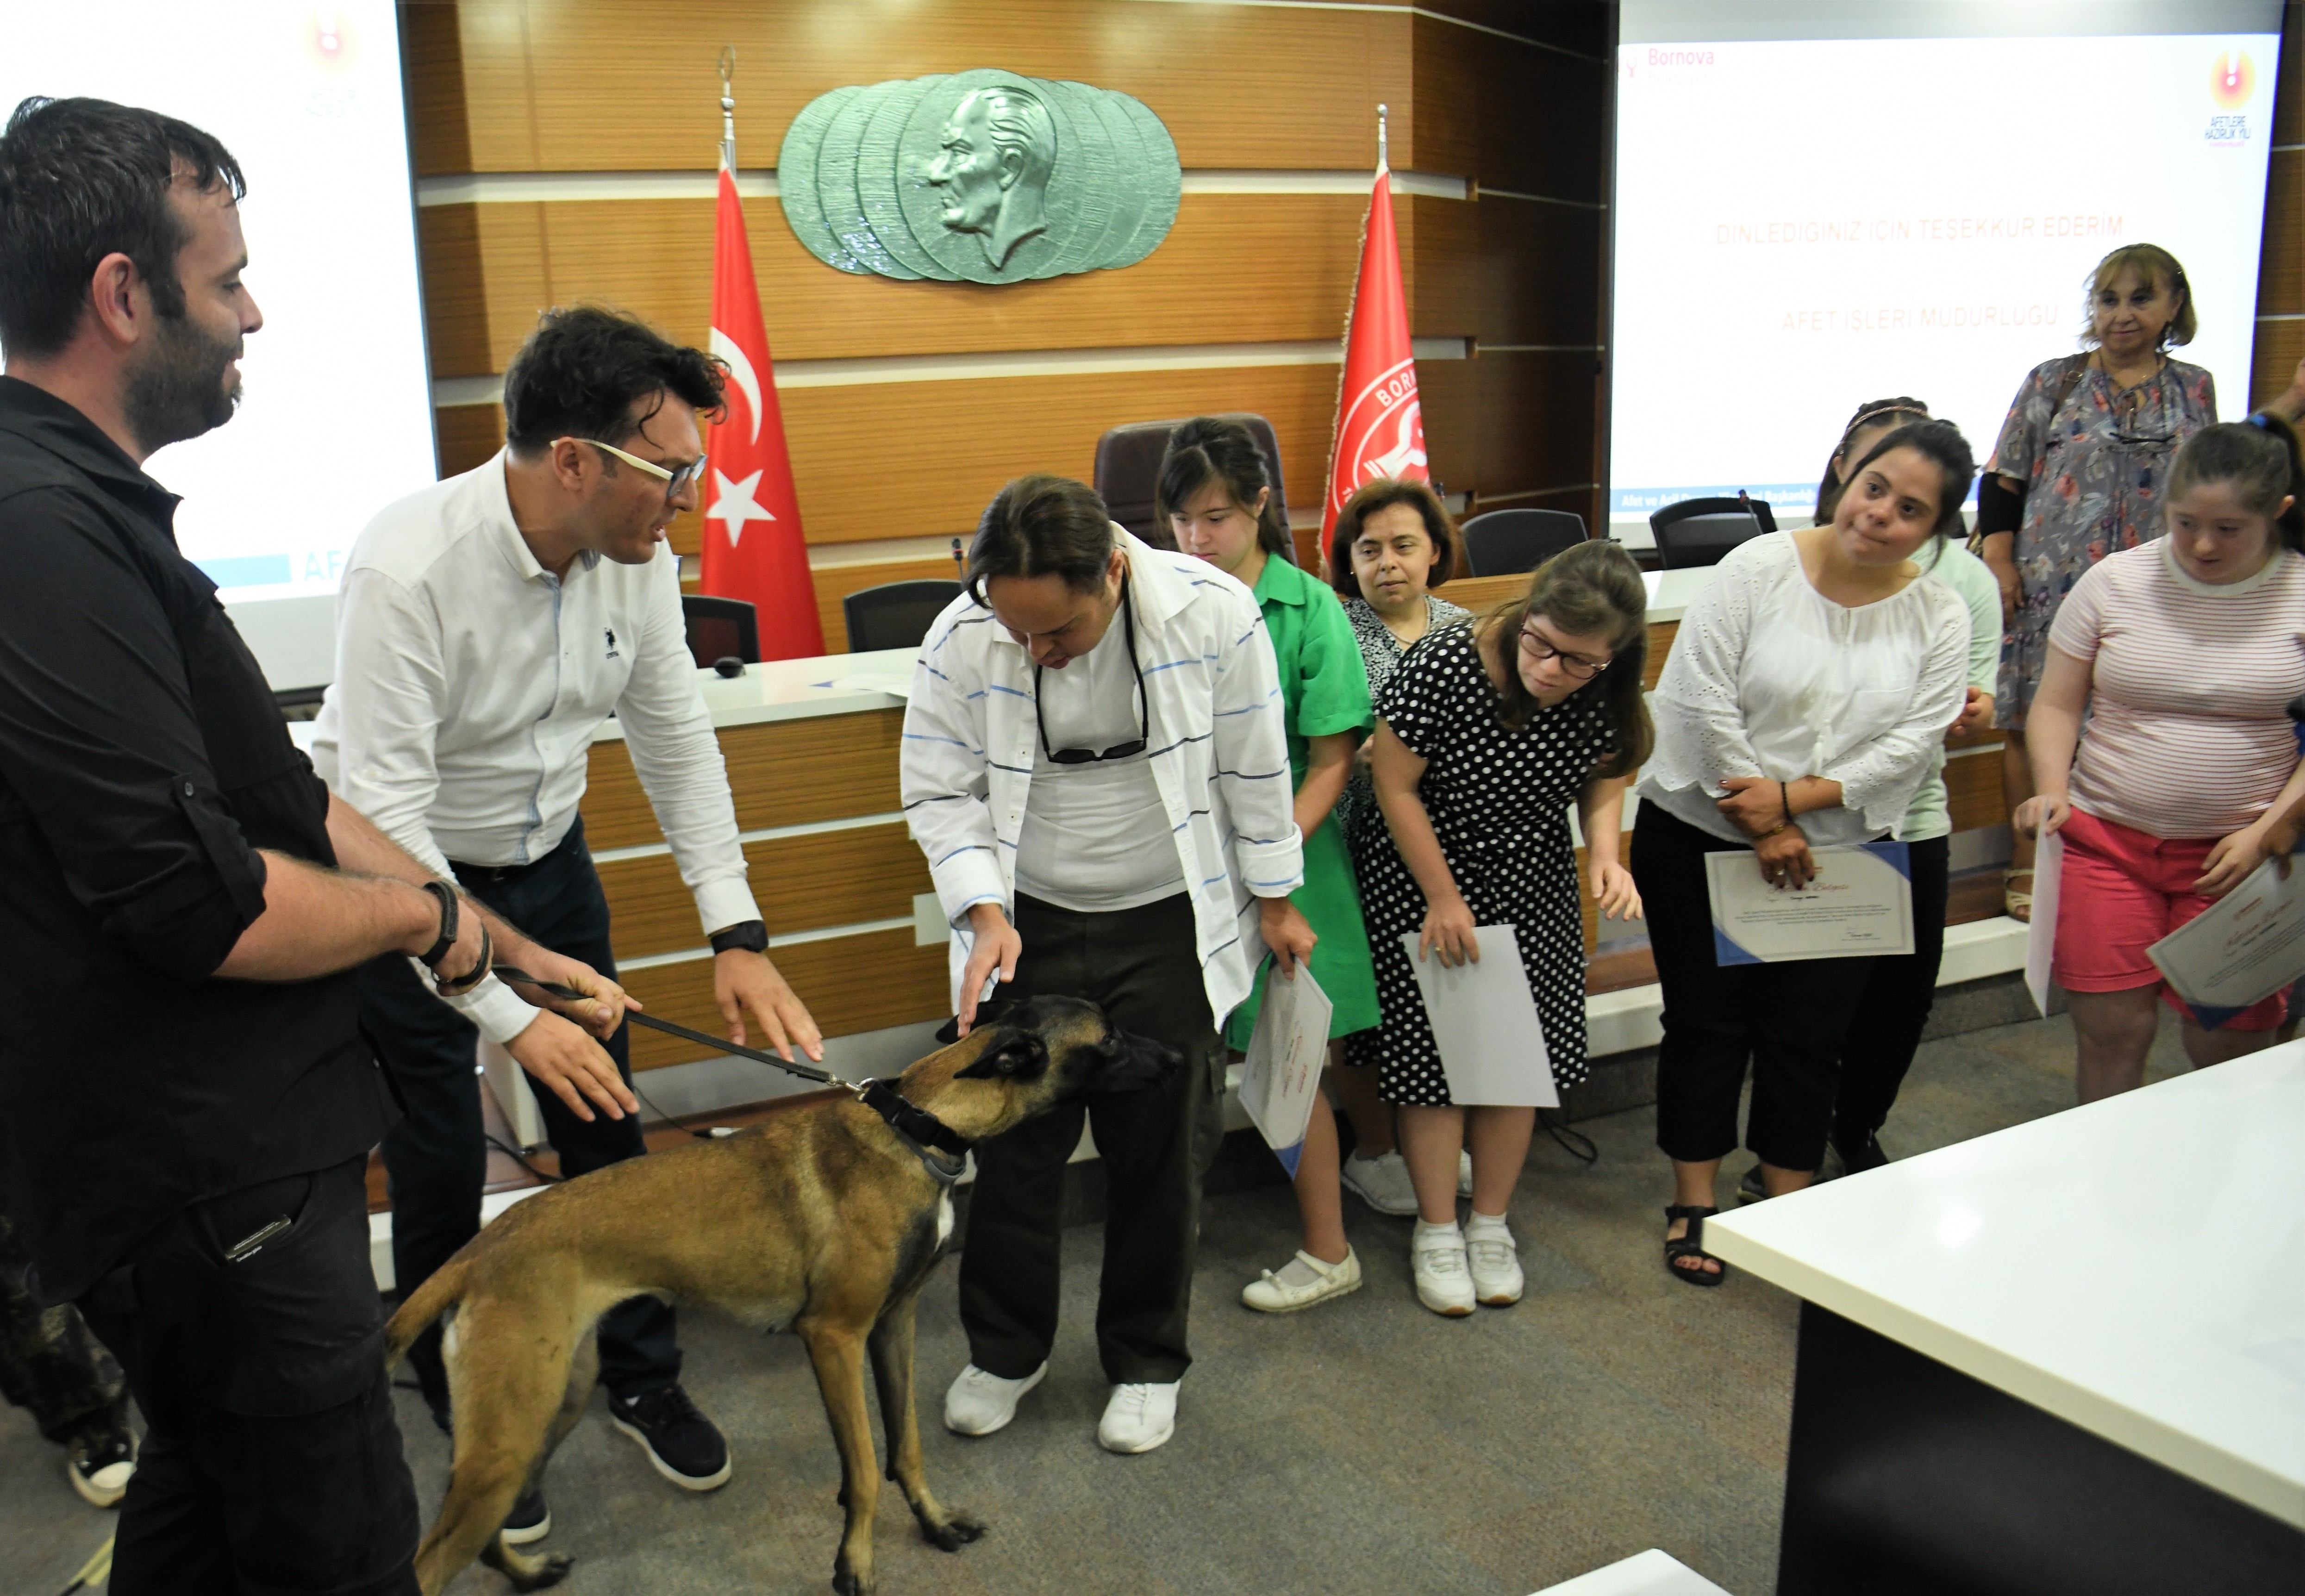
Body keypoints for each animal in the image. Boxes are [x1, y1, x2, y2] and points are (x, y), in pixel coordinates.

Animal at [387, 990, 1180, 1584]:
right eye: (1110, 1040)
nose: (1178, 1057)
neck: (918, 1127)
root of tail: (478, 1249)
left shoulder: (893, 1326)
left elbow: (905, 1447)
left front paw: (932, 1523)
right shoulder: (833, 1339)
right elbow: (865, 1467)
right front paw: (854, 1565)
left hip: (552, 1404)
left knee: (480, 1535)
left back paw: (526, 1572)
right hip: (513, 1429)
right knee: (428, 1560)